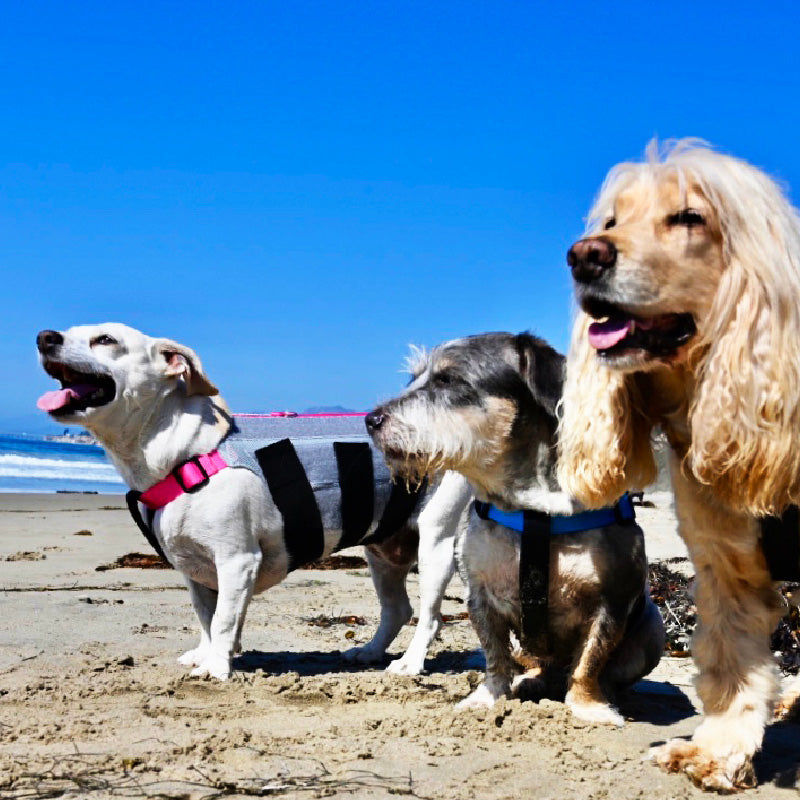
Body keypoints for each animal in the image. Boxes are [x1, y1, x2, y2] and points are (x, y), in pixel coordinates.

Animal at [37, 322, 472, 680]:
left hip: (436, 544)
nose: (45, 337)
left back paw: (410, 663)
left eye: (105, 340)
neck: (184, 453)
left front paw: (216, 668)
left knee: (431, 616)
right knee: (397, 609)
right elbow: (207, 618)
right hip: (383, 551)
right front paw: (207, 654)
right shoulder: (196, 571)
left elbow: (224, 620)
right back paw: (368, 652)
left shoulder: (236, 560)